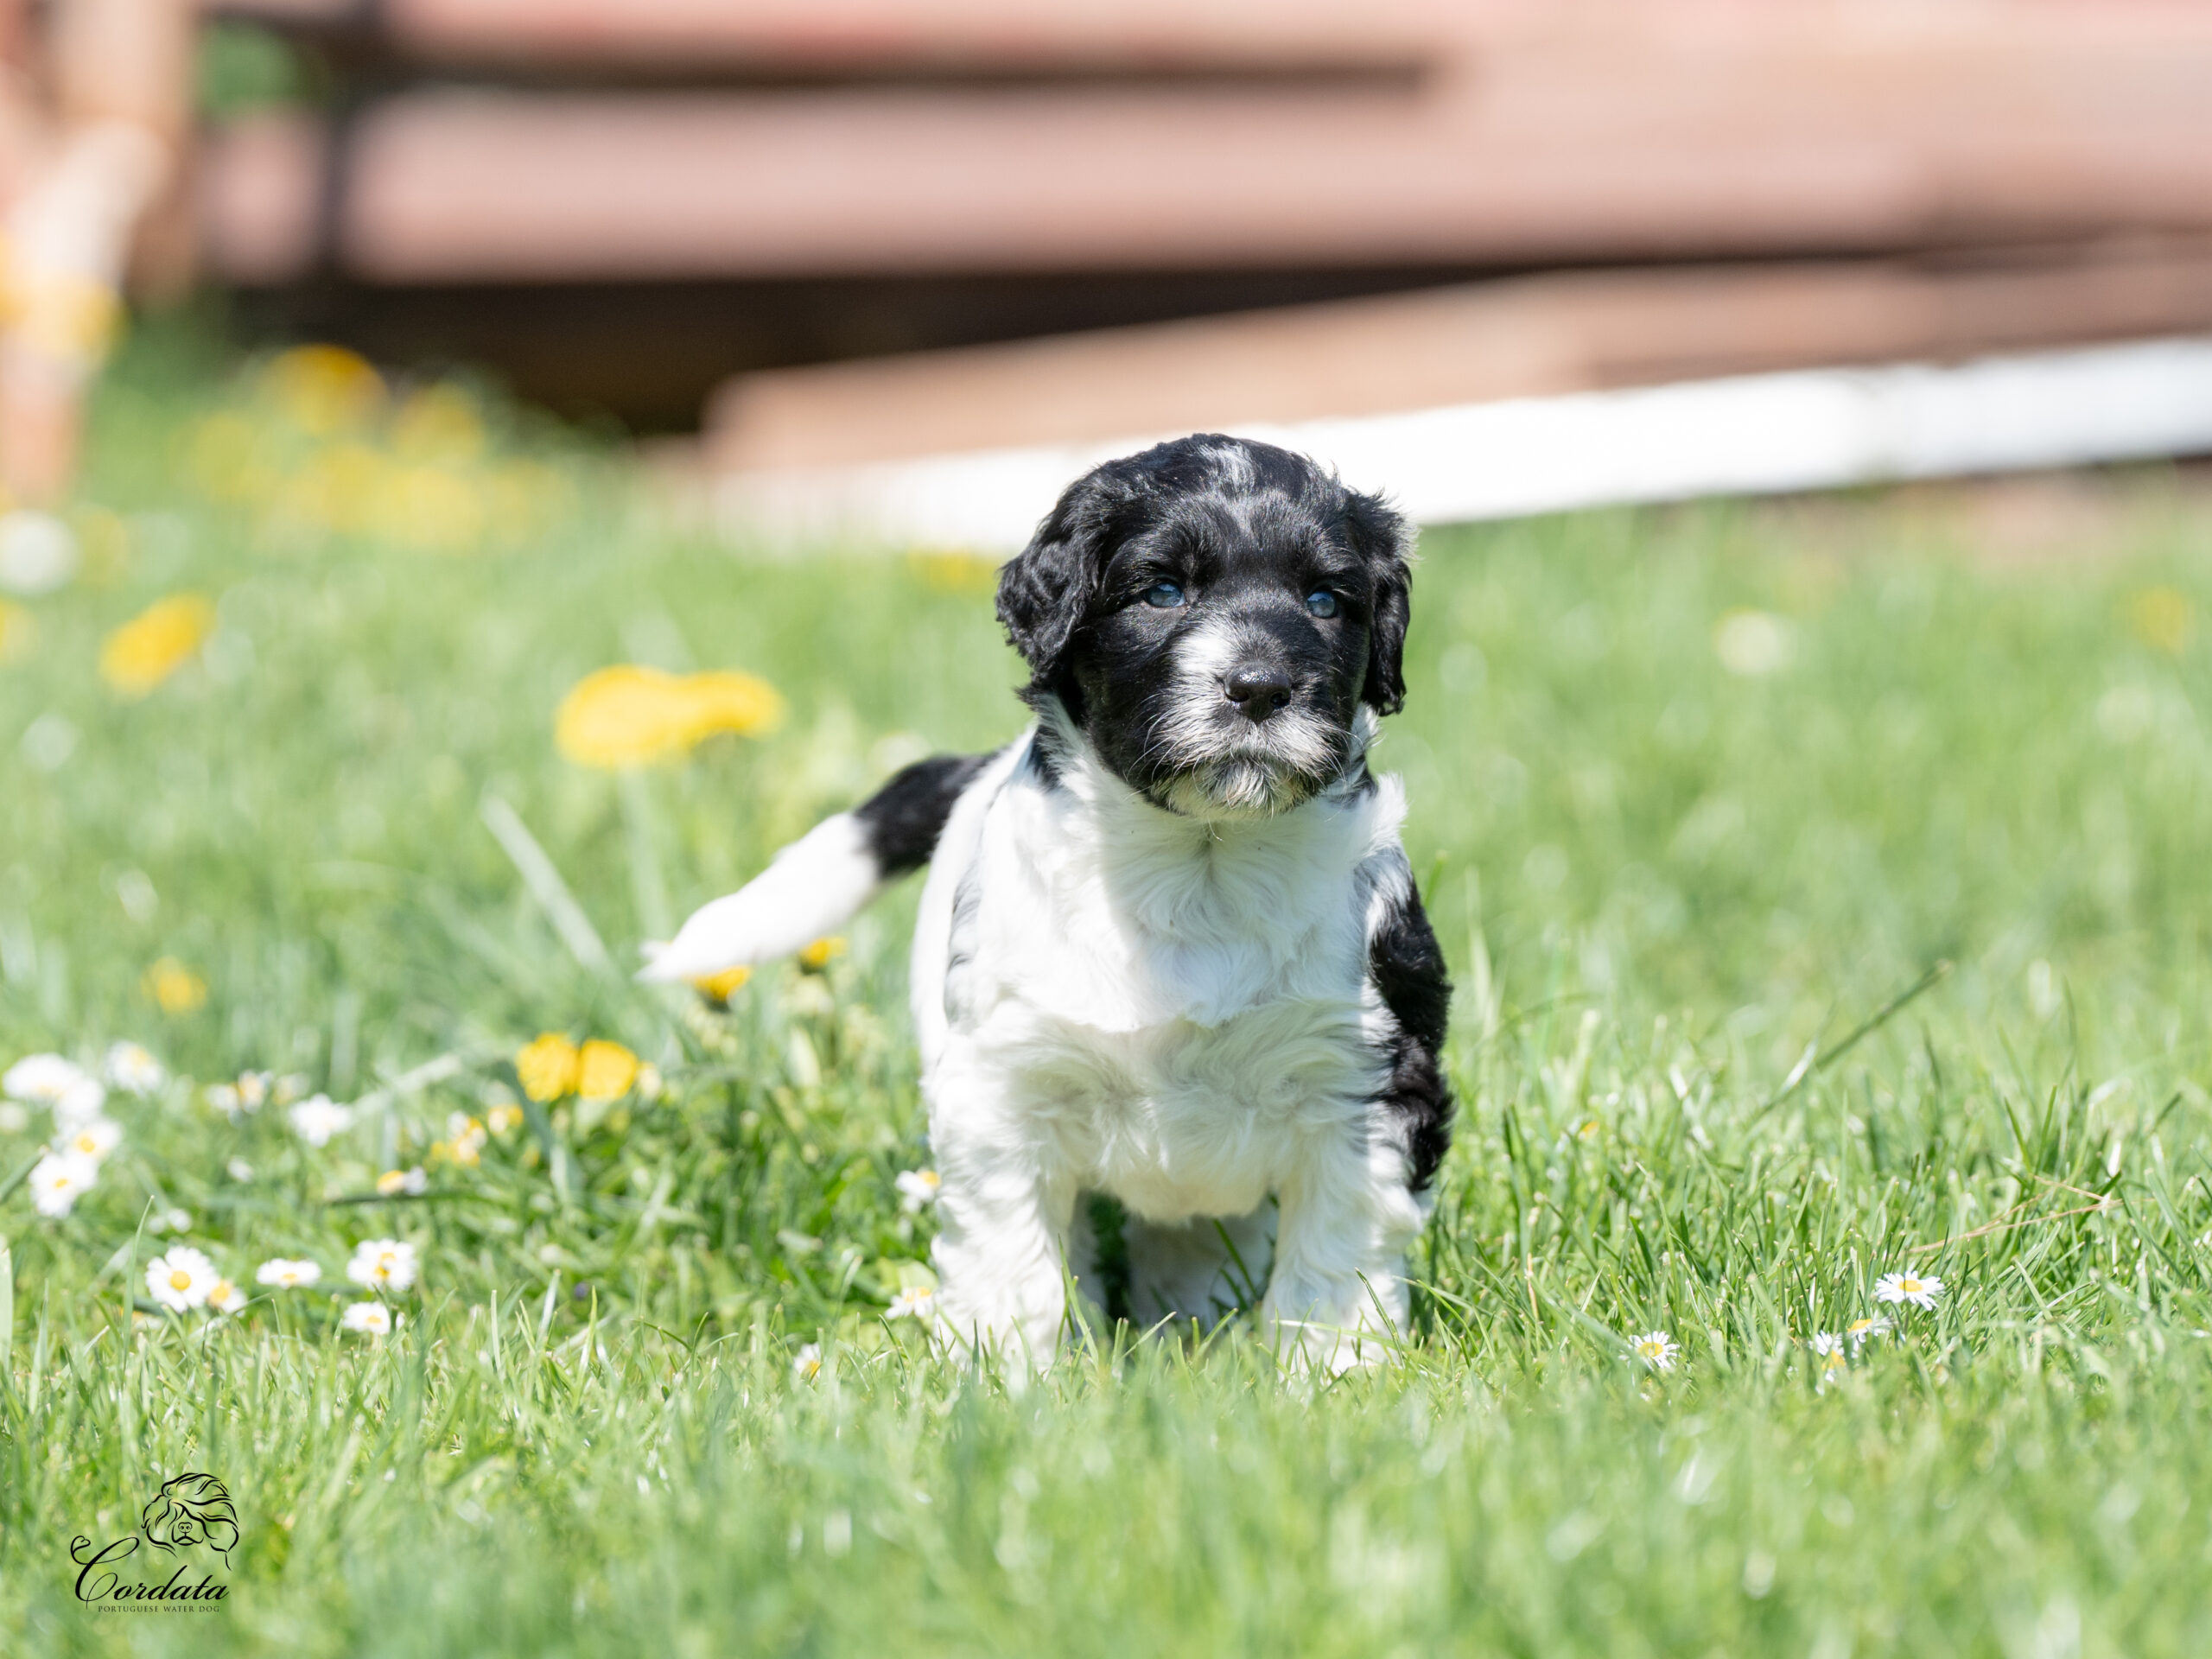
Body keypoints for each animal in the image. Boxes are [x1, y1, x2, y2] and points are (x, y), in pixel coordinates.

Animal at [643, 435, 1451, 1371]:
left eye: (1326, 601)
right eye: (1160, 591)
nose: (1259, 686)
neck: (1201, 865)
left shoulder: (1368, 1080)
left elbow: (1334, 1253)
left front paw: (1332, 1372)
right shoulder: (1002, 1084)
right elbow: (1013, 1257)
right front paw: (1007, 1375)